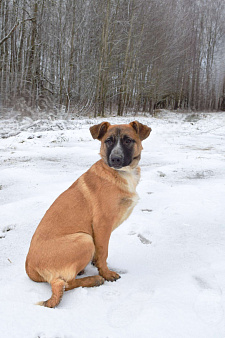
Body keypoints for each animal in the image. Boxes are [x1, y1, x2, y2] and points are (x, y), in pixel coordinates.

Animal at [25, 120, 151, 308]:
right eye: (108, 141)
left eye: (128, 140)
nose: (115, 159)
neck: (120, 173)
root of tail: (30, 269)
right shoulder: (102, 224)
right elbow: (104, 252)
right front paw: (106, 273)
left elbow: (100, 253)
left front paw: (96, 263)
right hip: (84, 239)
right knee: (65, 283)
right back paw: (95, 279)